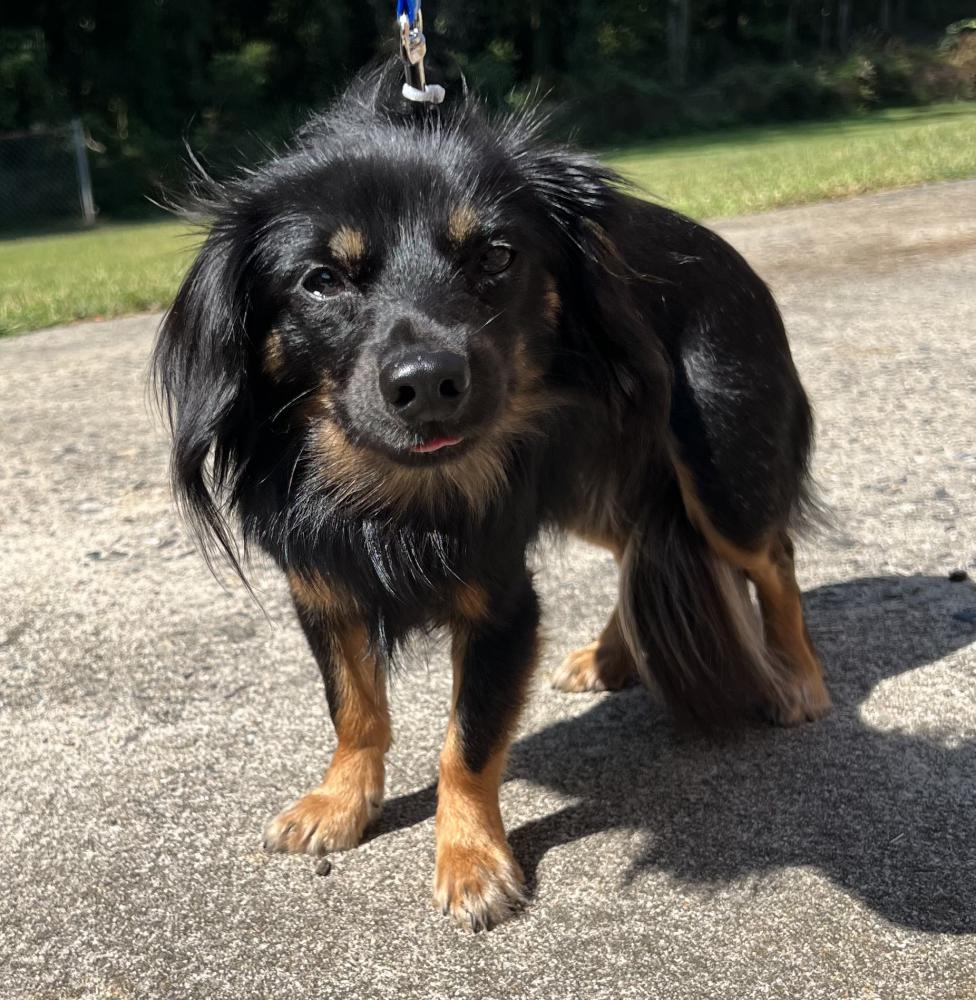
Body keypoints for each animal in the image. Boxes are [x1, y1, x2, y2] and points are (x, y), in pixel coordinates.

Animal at [153, 63, 831, 931]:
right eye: (321, 280)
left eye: (496, 255)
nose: (428, 383)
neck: (397, 490)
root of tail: (725, 251)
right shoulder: (322, 583)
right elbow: (354, 706)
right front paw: (342, 802)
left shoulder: (501, 604)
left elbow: (467, 741)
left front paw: (471, 860)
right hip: (590, 485)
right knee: (633, 545)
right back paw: (609, 655)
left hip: (722, 468)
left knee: (770, 558)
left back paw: (799, 677)